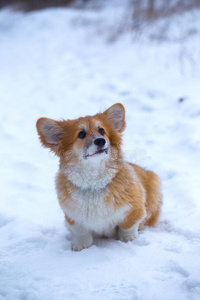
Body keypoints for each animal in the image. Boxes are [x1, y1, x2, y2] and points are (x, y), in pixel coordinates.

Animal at [36, 103, 161, 251]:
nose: (100, 141)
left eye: (102, 131)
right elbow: (81, 232)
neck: (94, 182)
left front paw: (128, 239)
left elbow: (128, 226)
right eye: (81, 134)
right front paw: (81, 245)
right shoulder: (73, 218)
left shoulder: (134, 209)